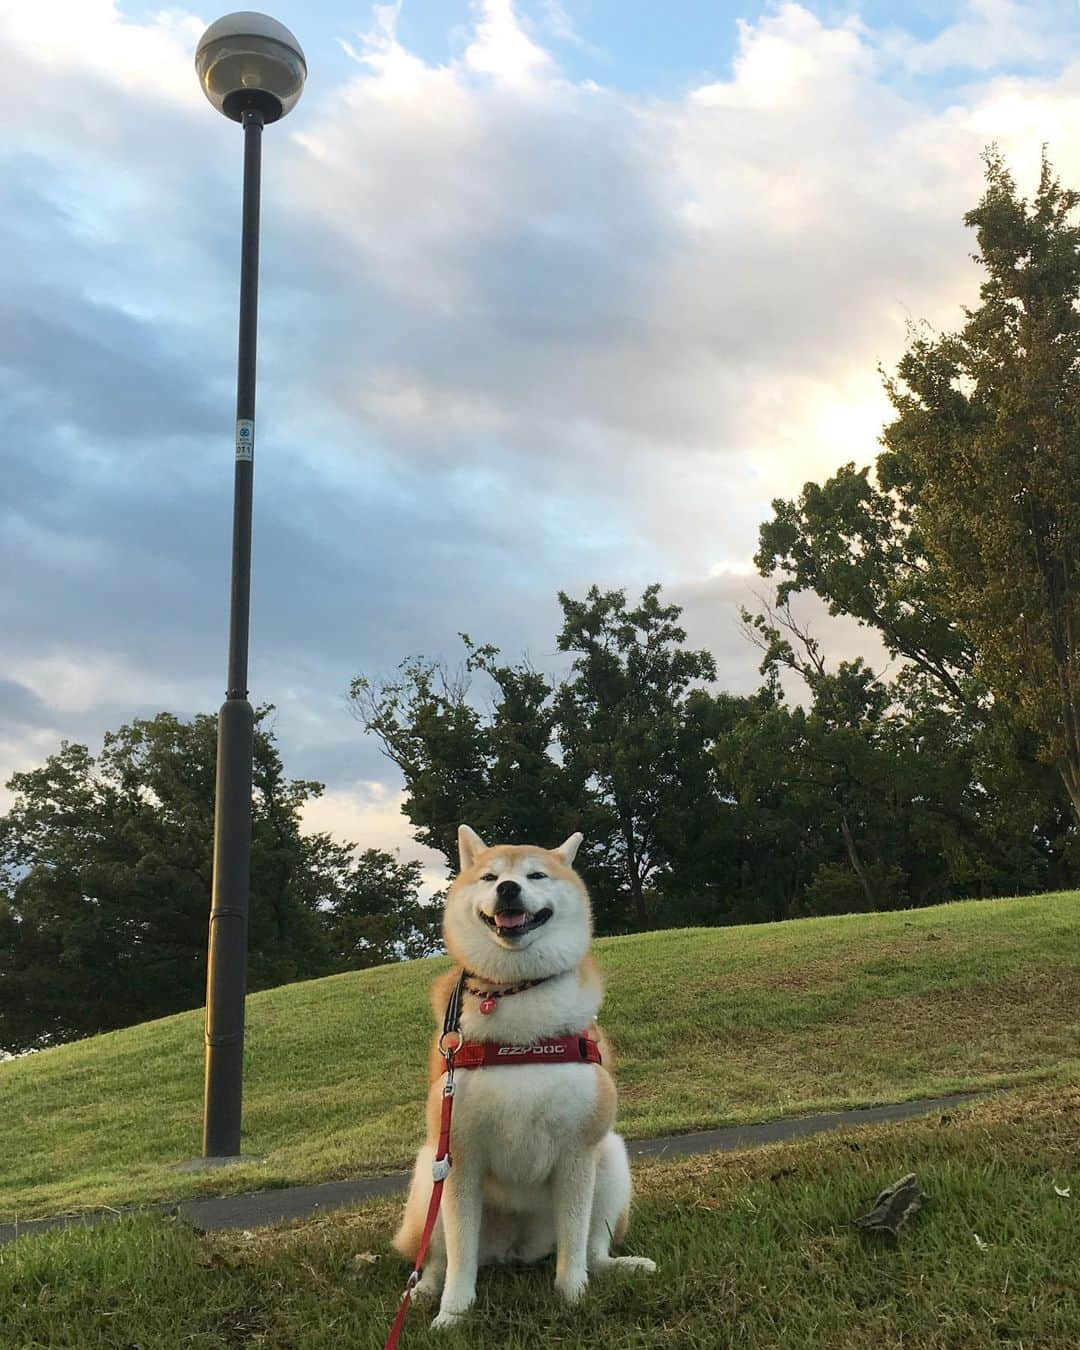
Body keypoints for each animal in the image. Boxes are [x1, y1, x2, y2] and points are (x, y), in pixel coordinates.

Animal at [391, 820, 653, 1328]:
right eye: (490, 877)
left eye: (535, 875)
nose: (509, 888)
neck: (517, 996)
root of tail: (515, 1251)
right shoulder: (460, 1156)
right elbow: (459, 1256)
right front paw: (453, 1315)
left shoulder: (577, 1152)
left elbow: (574, 1242)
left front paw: (573, 1296)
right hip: (429, 1171)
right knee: (435, 1256)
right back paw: (424, 1291)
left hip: (610, 1156)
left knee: (594, 1250)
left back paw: (618, 1268)